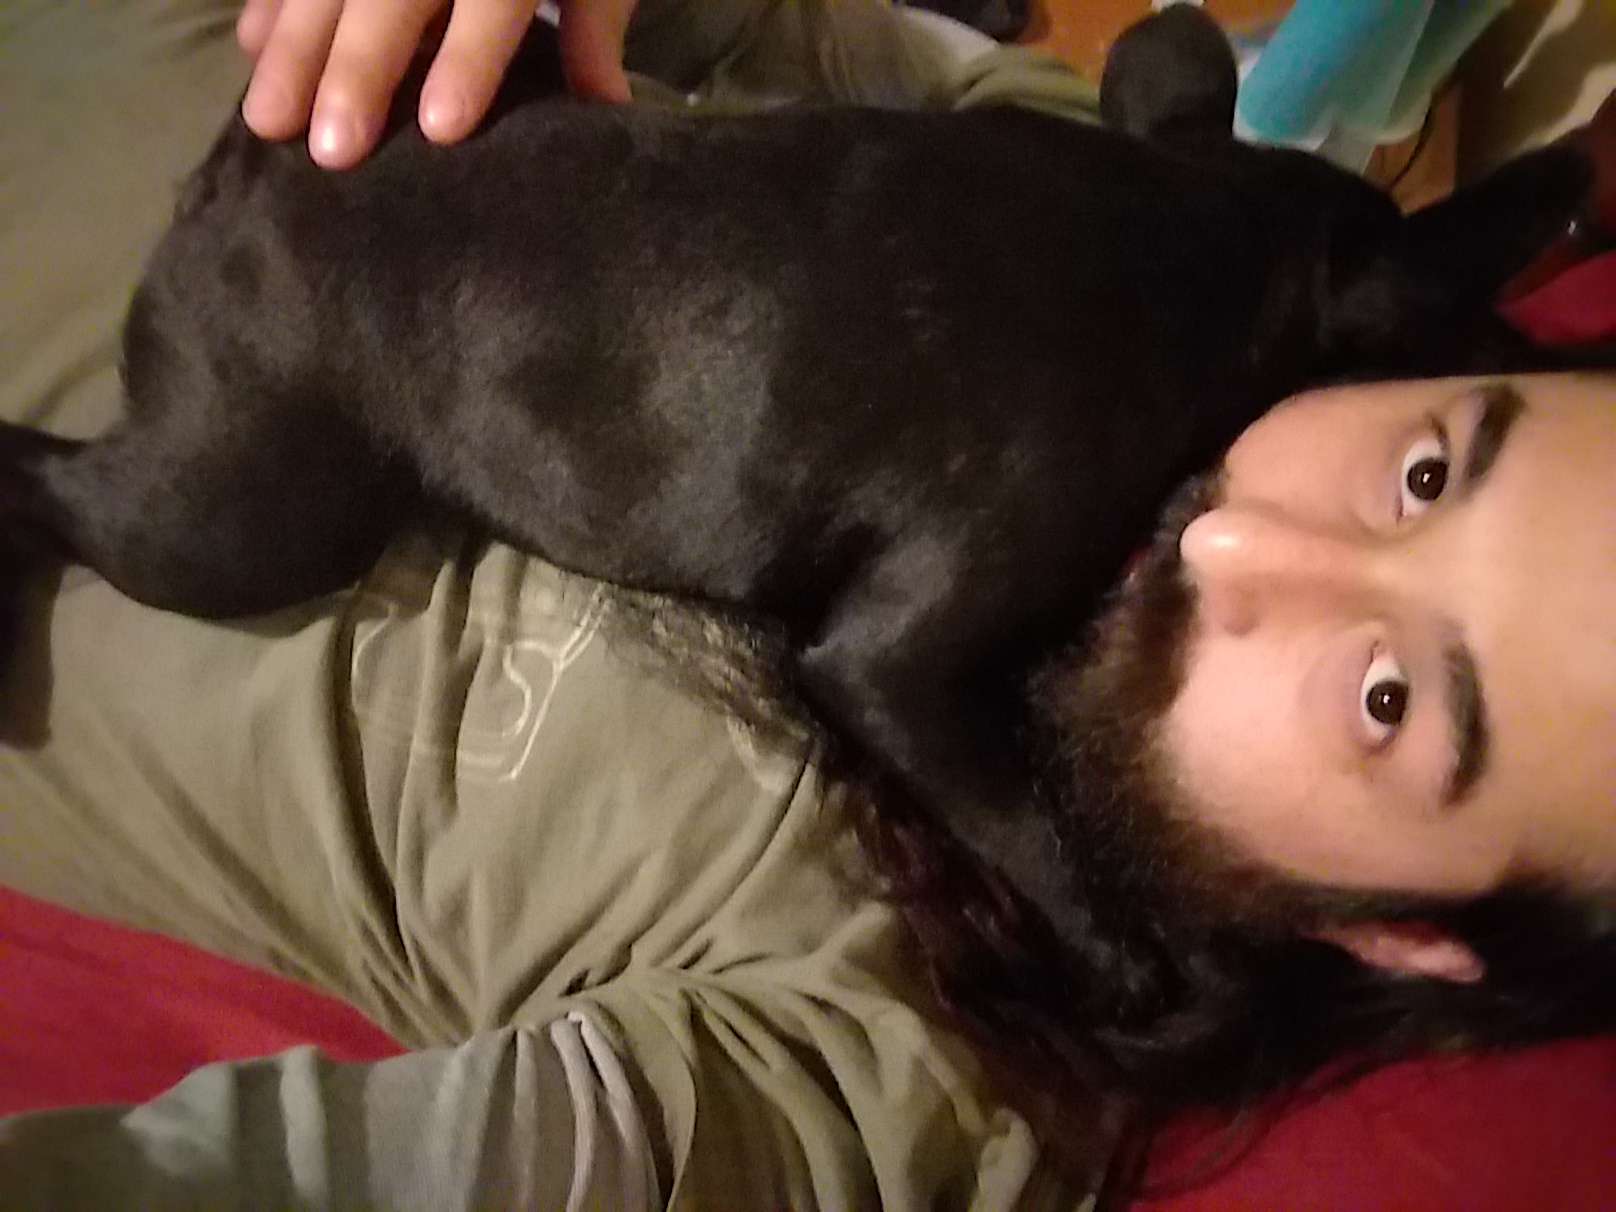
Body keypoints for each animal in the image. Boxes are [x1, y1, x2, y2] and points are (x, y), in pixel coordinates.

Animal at [0, 8, 1592, 942]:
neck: (1205, 237)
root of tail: (258, 165)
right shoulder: (903, 660)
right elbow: (1030, 829)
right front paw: (1131, 963)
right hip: (247, 506)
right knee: (48, 483)